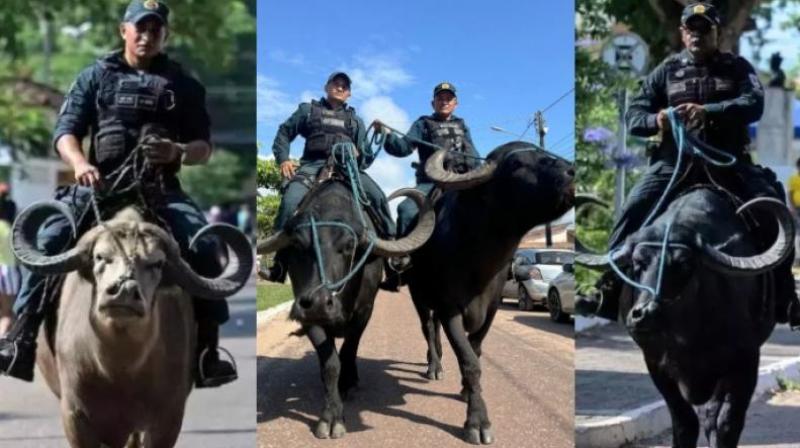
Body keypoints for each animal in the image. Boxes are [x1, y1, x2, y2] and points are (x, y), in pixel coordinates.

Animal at [10, 204, 253, 448]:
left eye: (157, 263)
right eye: (100, 257)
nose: (124, 291)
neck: (119, 368)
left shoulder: (168, 418)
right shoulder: (75, 416)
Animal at [406, 142, 576, 442]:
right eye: (516, 164)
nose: (571, 172)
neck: (478, 261)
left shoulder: (492, 309)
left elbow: (476, 351)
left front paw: (465, 390)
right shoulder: (450, 309)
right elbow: (470, 362)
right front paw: (477, 422)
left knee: (434, 330)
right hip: (419, 297)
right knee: (427, 327)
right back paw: (434, 366)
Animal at [580, 187, 792, 446]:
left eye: (684, 264)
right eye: (637, 263)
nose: (645, 315)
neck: (689, 333)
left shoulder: (745, 360)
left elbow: (726, 422)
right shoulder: (655, 363)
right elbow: (684, 422)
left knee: (713, 416)